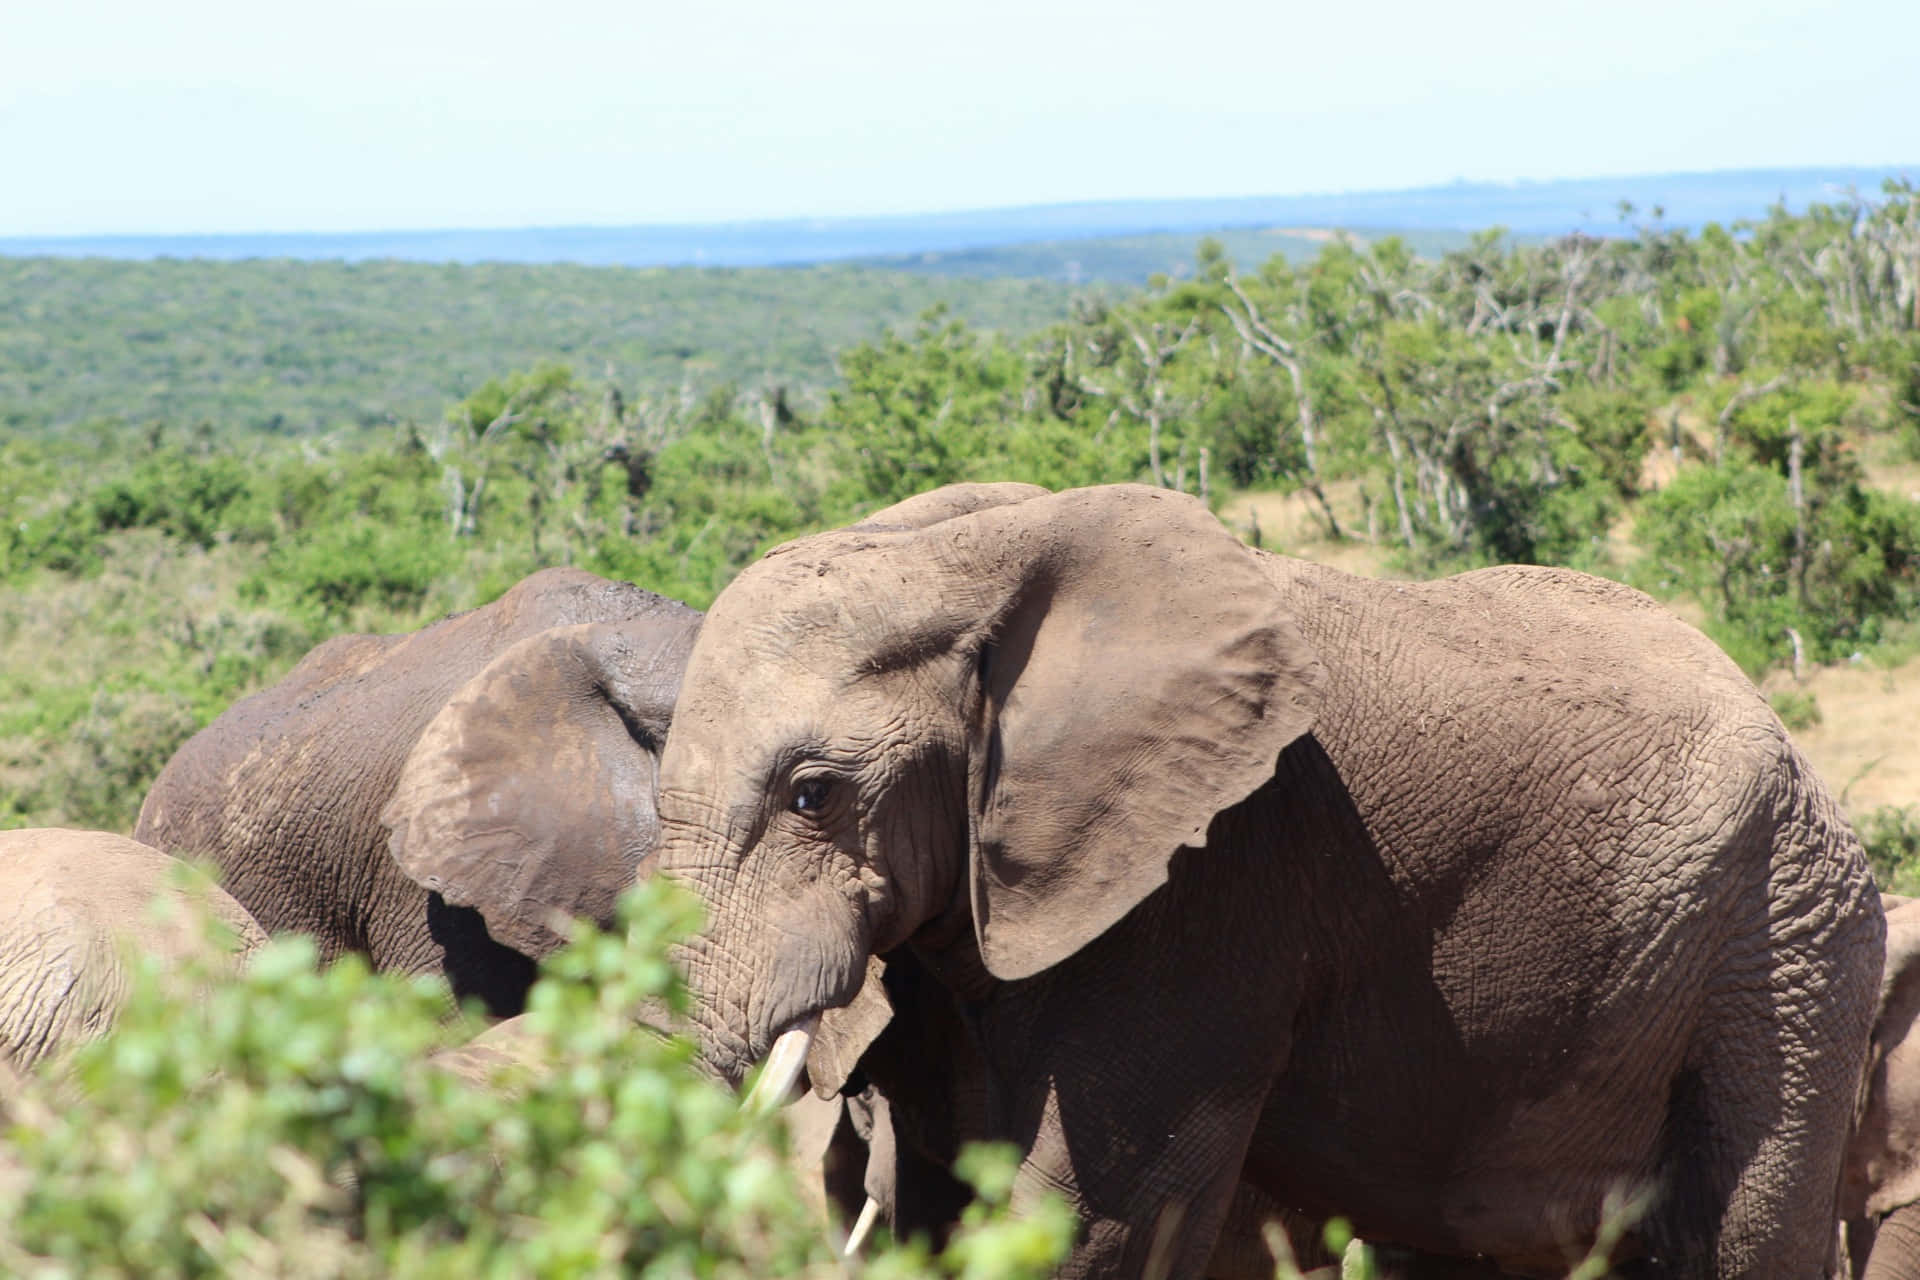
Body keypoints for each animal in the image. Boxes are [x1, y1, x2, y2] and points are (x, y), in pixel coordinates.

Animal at [647, 481, 1884, 1278]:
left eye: (812, 794)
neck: (970, 551)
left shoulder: (1214, 887)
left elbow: (1098, 1213)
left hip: (1789, 944)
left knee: (1749, 1228)